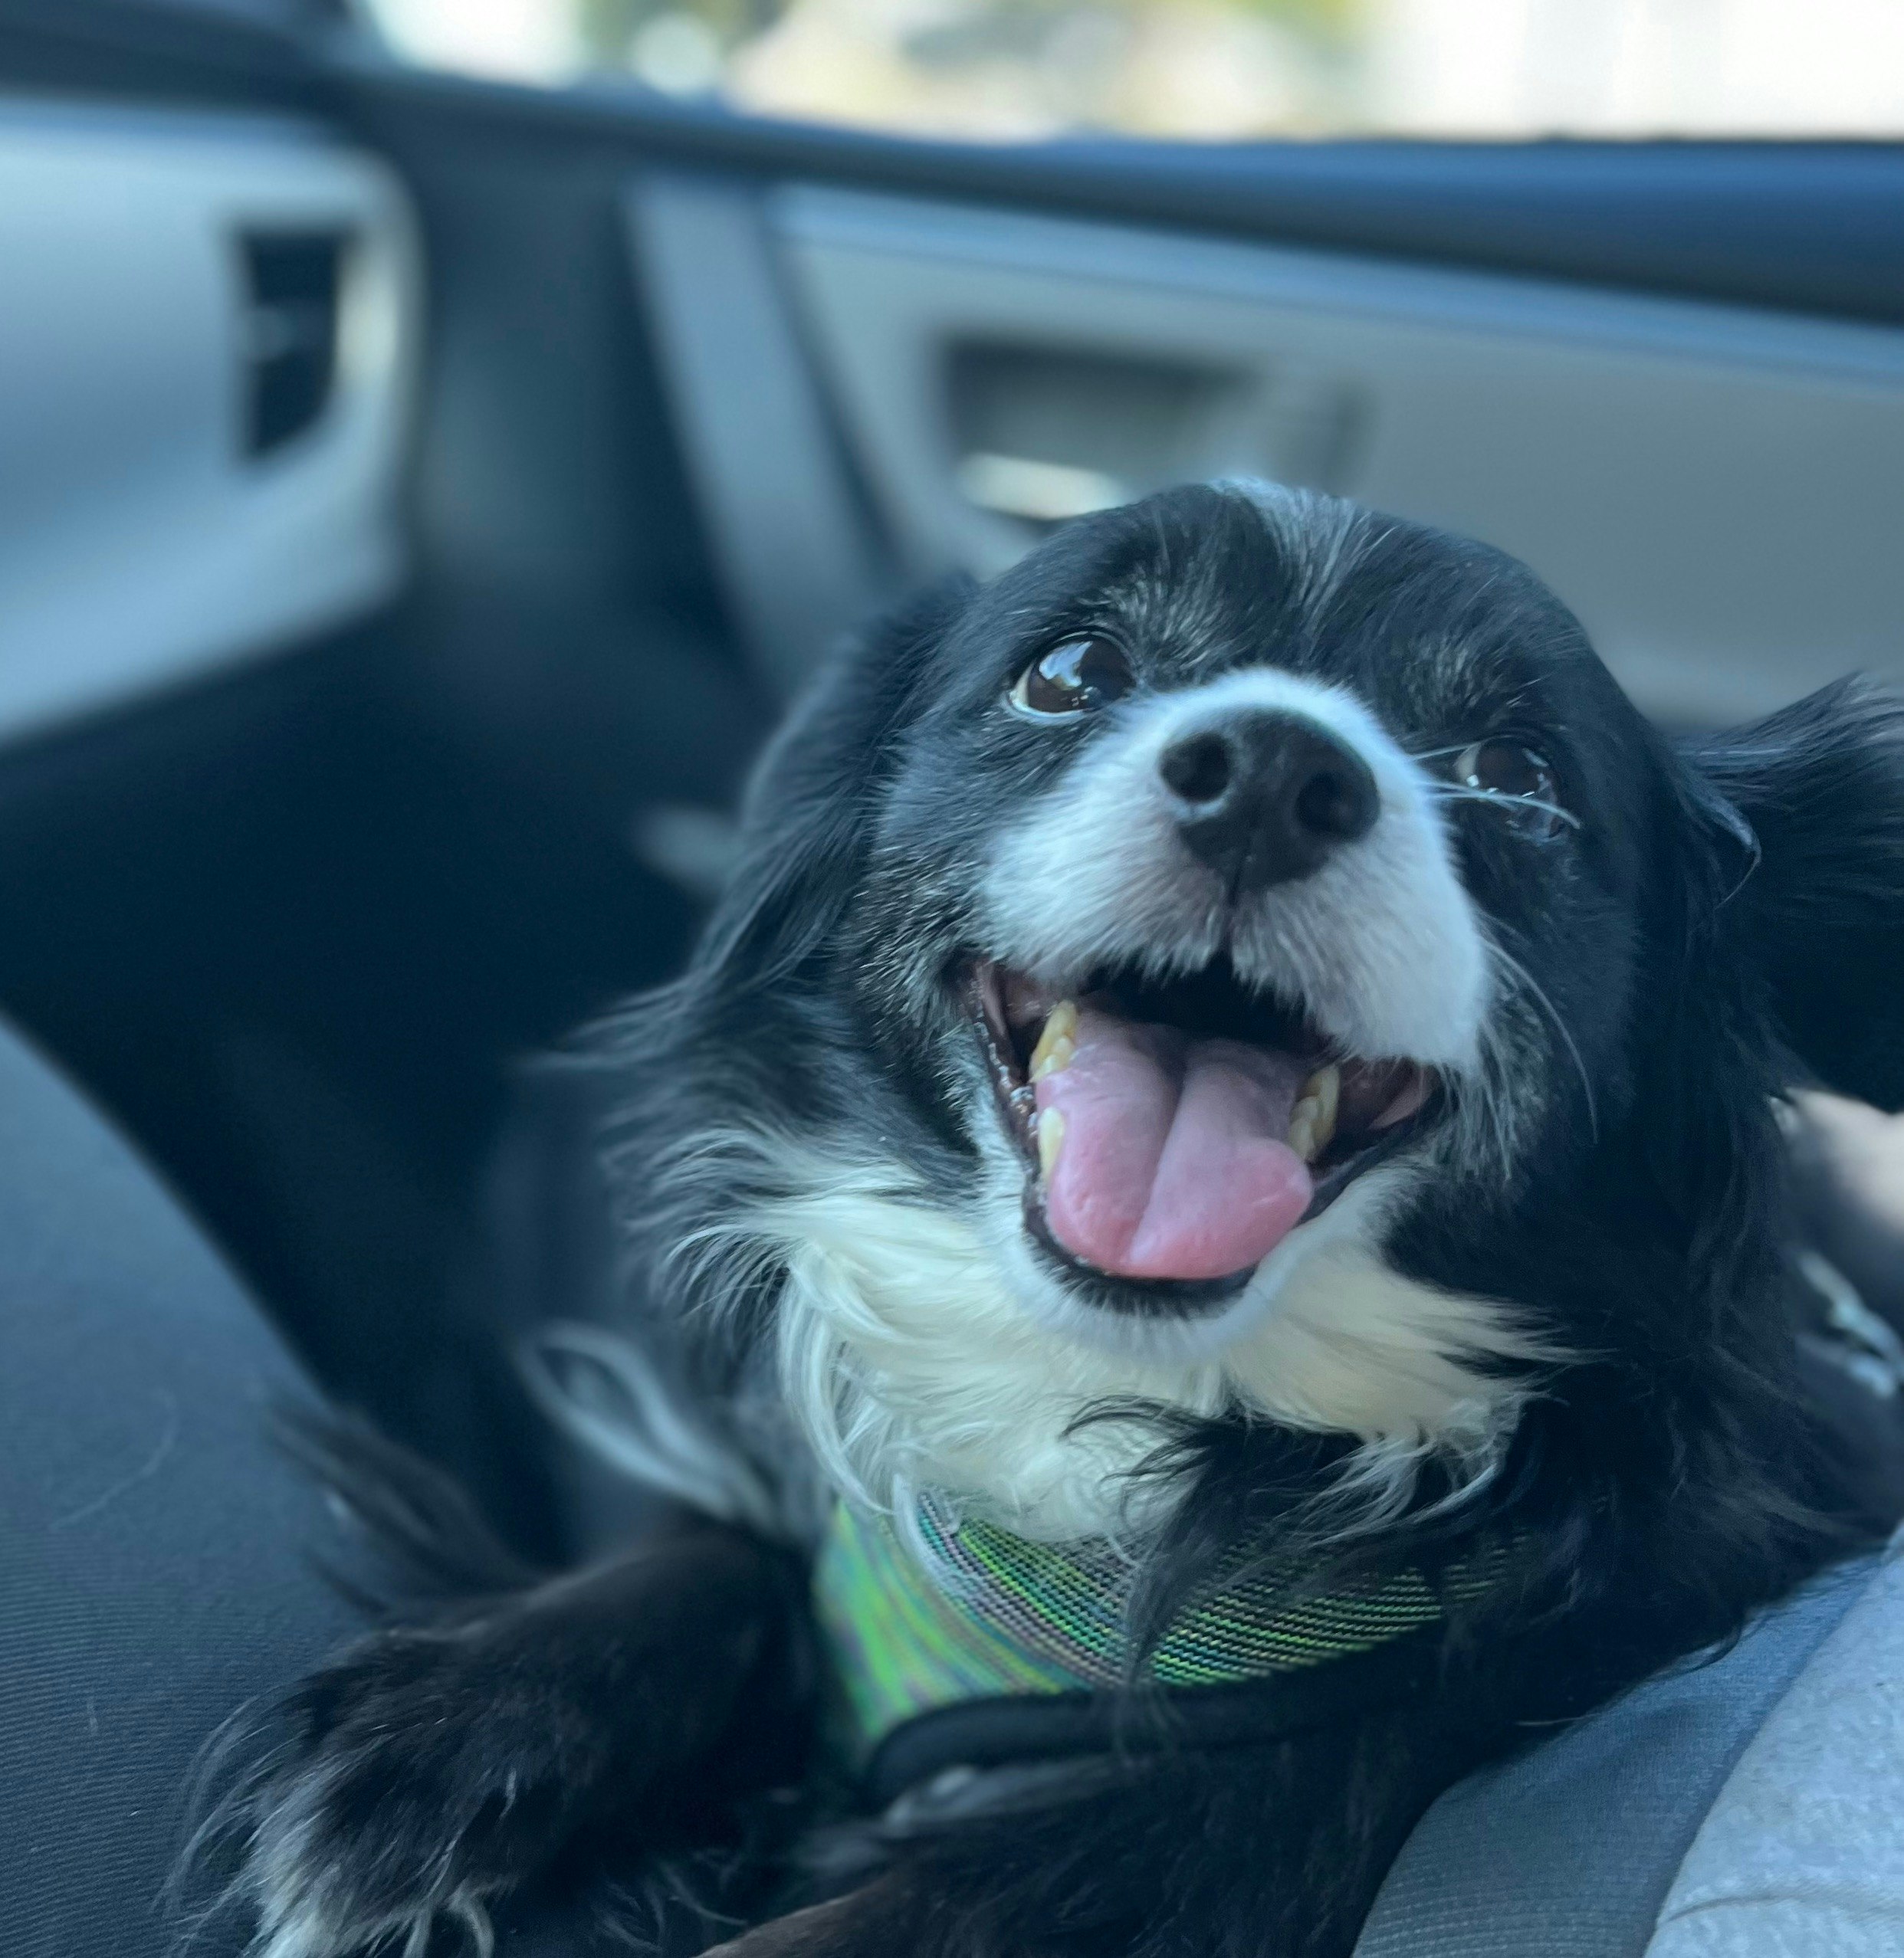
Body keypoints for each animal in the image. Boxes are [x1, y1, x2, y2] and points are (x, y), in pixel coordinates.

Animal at [200, 481, 1904, 1958]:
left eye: (1515, 773)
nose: (1270, 772)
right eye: (1069, 671)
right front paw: (441, 1731)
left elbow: (991, 1880)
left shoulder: (1308, 1781)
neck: (1128, 1388)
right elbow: (724, 1551)